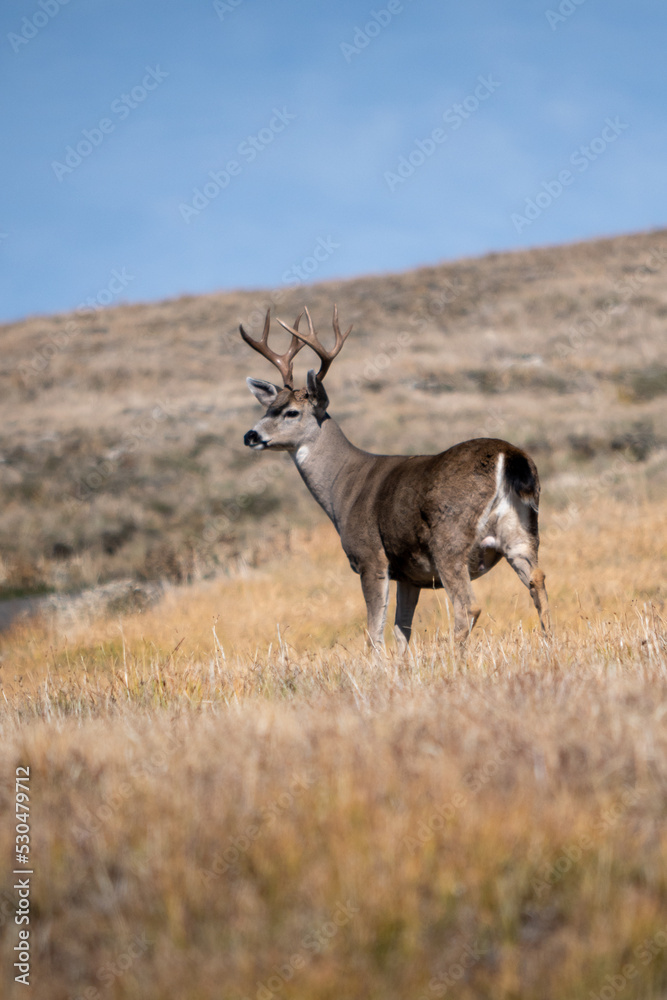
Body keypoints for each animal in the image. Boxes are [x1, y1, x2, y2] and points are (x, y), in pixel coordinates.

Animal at [241, 306, 551, 647]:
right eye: (269, 407)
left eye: (292, 412)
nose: (250, 436)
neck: (343, 489)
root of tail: (508, 456)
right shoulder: (409, 574)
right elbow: (402, 632)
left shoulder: (371, 557)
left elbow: (374, 632)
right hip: (523, 533)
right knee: (538, 583)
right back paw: (549, 644)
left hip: (449, 540)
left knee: (468, 607)